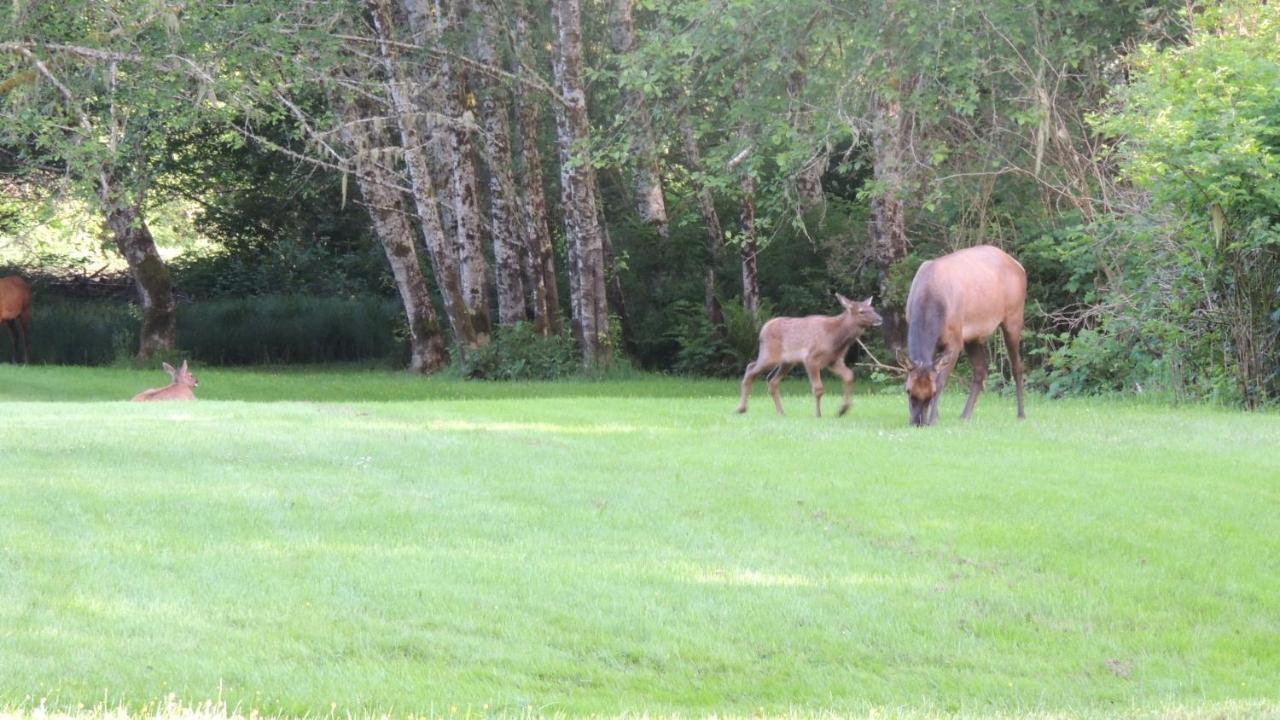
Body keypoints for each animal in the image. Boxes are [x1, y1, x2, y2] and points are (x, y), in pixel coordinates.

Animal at [742, 292, 880, 415]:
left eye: (872, 308)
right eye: (861, 311)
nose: (880, 319)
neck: (836, 339)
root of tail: (762, 330)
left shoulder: (835, 361)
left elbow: (849, 376)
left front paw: (843, 410)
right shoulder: (811, 358)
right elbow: (818, 388)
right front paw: (818, 414)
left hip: (786, 362)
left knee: (771, 380)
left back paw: (781, 412)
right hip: (770, 355)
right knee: (751, 370)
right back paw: (742, 408)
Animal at [906, 244, 1024, 425]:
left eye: (932, 394)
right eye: (908, 391)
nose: (917, 422)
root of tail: (1020, 267)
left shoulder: (955, 342)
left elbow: (941, 380)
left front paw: (933, 420)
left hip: (1014, 318)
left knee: (1017, 365)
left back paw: (1021, 414)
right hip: (972, 337)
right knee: (981, 369)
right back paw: (965, 415)